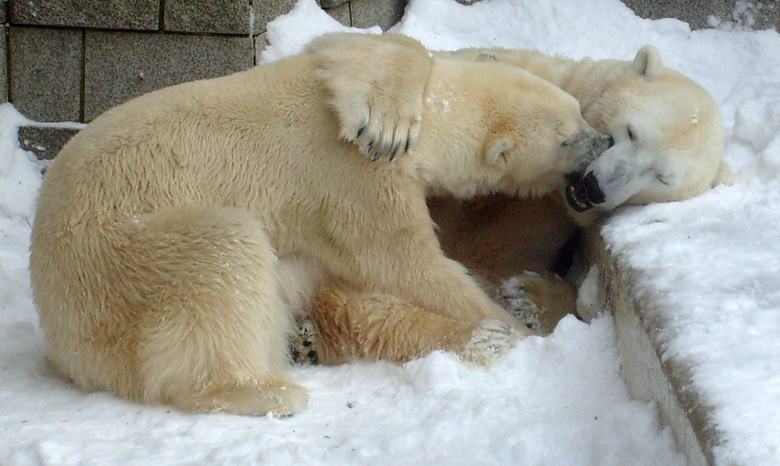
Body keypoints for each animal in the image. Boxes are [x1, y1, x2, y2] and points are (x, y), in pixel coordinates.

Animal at [27, 34, 608, 416]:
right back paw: (265, 390)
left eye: (579, 110)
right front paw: (510, 327)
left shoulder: (329, 66)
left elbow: (360, 43)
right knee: (221, 254)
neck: (433, 126)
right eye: (567, 137)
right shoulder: (353, 183)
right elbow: (407, 264)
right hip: (115, 263)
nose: (602, 140)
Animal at [292, 34, 736, 360]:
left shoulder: (548, 224)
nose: (596, 187)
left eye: (661, 177)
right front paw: (385, 117)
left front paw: (530, 295)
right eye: (631, 131)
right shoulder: (537, 75)